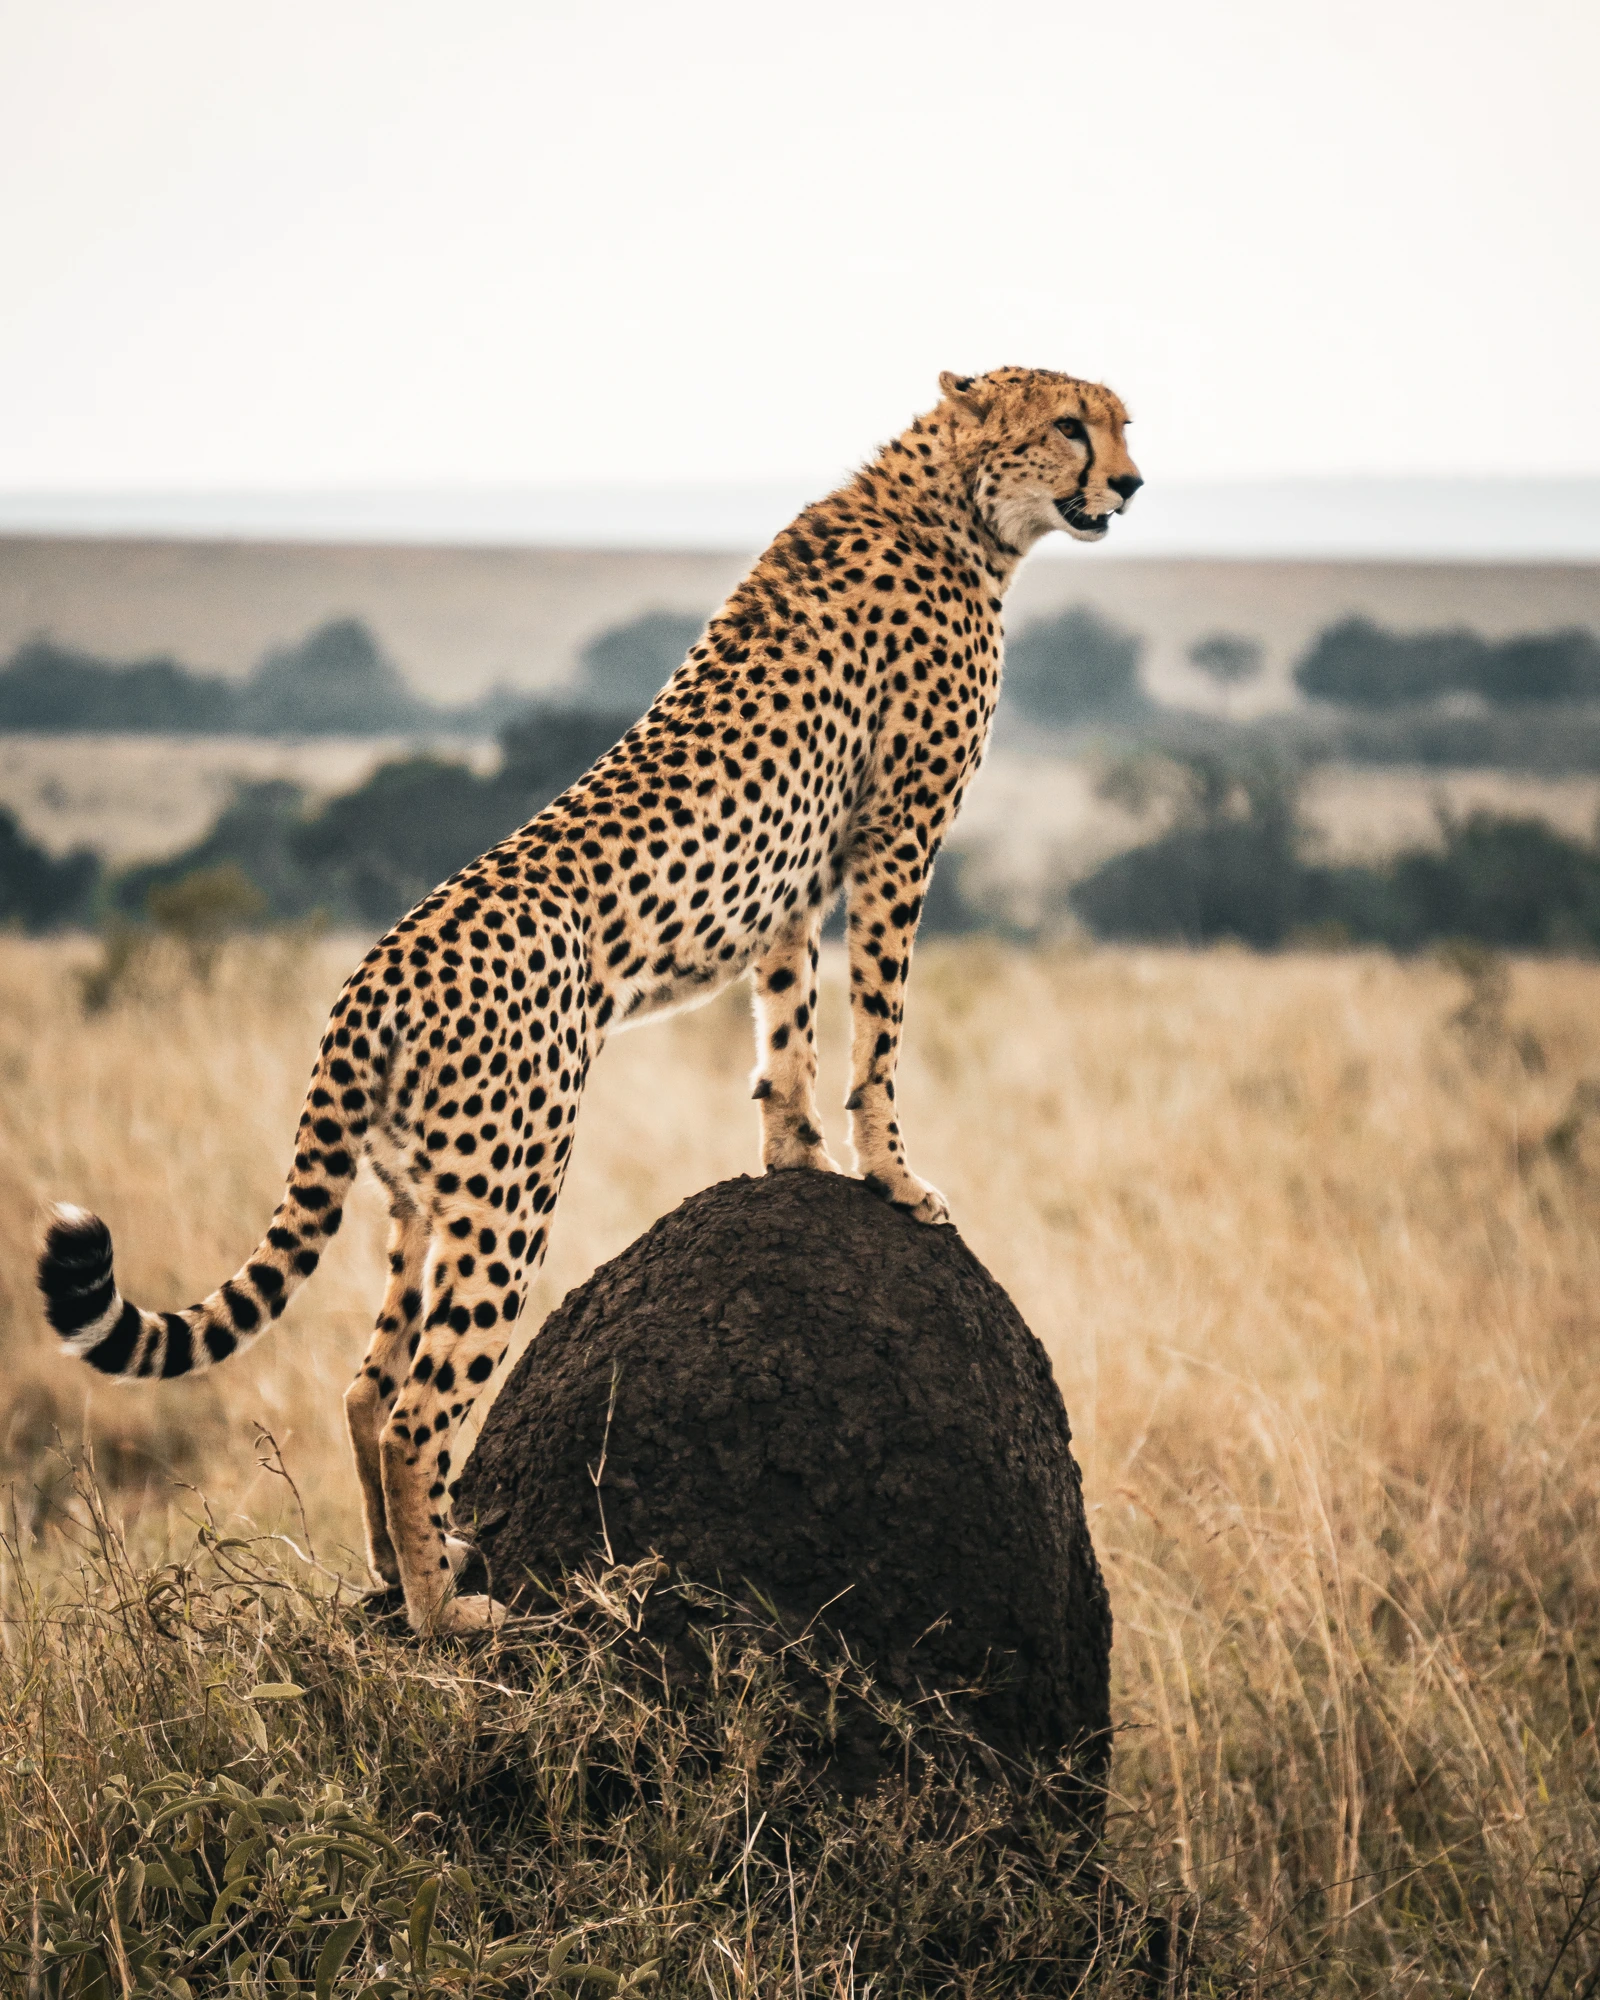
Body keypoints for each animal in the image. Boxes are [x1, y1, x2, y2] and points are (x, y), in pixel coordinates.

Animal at [37, 365, 1141, 1635]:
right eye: (1070, 424)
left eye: (1122, 422)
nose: (1129, 483)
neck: (952, 507)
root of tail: (370, 978)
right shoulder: (895, 835)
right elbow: (878, 1030)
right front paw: (894, 1176)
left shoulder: (796, 878)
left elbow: (787, 1027)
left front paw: (797, 1156)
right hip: (512, 1184)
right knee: (418, 1408)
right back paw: (448, 1612)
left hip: (420, 1193)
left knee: (367, 1384)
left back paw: (397, 1573)